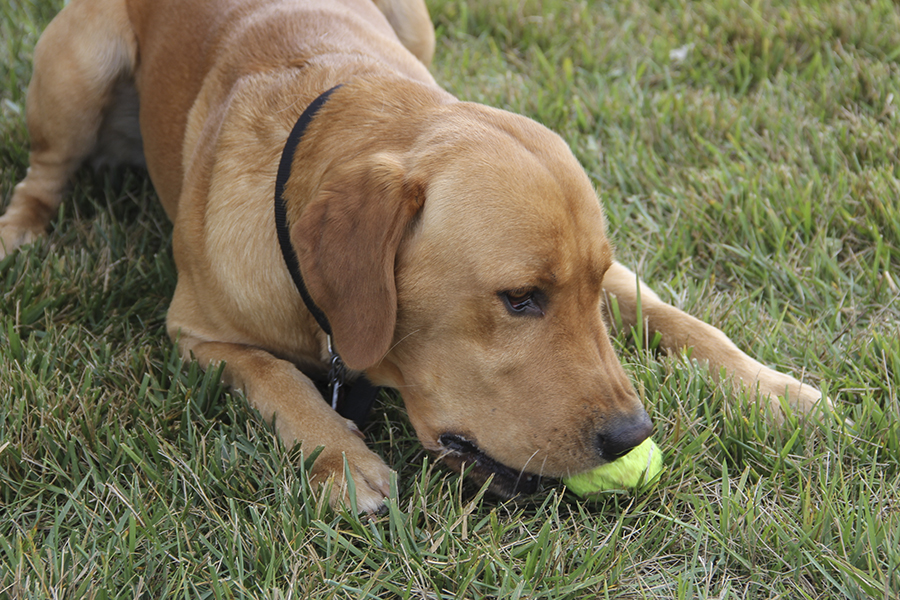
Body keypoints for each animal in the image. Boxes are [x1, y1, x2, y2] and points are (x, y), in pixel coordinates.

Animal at [0, 0, 828, 510]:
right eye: (519, 298)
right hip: (78, 69)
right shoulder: (200, 333)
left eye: (590, 290)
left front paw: (771, 387)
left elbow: (675, 315)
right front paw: (340, 458)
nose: (633, 435)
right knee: (44, 174)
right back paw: (19, 233)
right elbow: (277, 378)